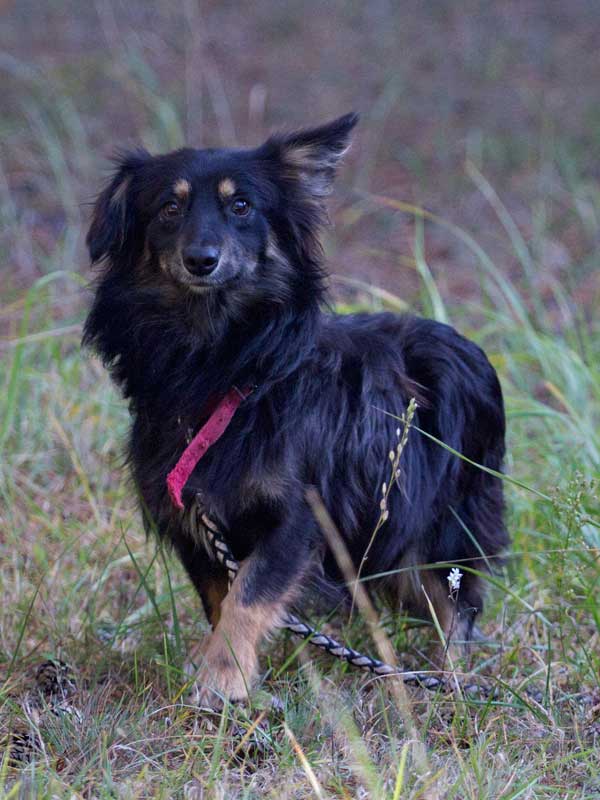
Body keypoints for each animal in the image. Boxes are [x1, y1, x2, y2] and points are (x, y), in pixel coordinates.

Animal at [83, 113, 508, 707]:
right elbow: (220, 598)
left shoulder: (300, 518)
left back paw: (450, 680)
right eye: (169, 208)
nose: (201, 260)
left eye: (241, 206)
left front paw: (223, 682)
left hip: (446, 524)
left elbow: (248, 597)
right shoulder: (195, 519)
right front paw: (221, 669)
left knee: (458, 605)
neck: (226, 364)